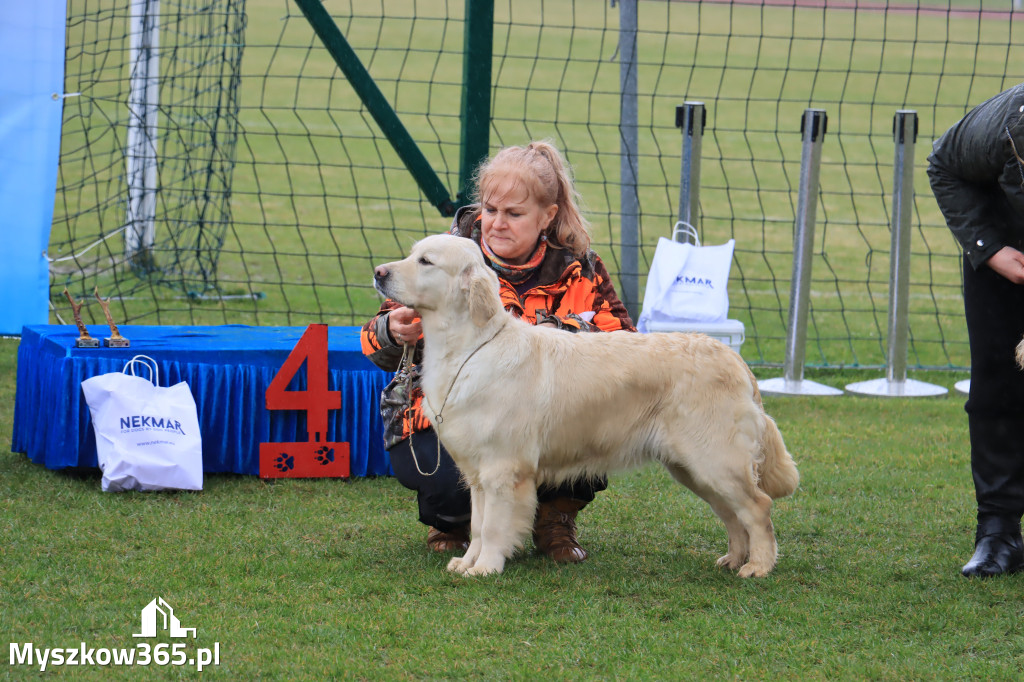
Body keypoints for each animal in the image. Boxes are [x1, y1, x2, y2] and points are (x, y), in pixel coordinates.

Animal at [374, 233, 798, 573]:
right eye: (412, 254)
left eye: (426, 261)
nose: (378, 272)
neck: (468, 347)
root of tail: (734, 360)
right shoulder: (477, 474)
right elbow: (477, 525)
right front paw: (466, 562)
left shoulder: (502, 470)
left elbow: (494, 527)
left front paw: (486, 567)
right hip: (694, 468)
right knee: (732, 515)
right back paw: (734, 559)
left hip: (715, 460)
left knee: (758, 507)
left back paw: (758, 567)